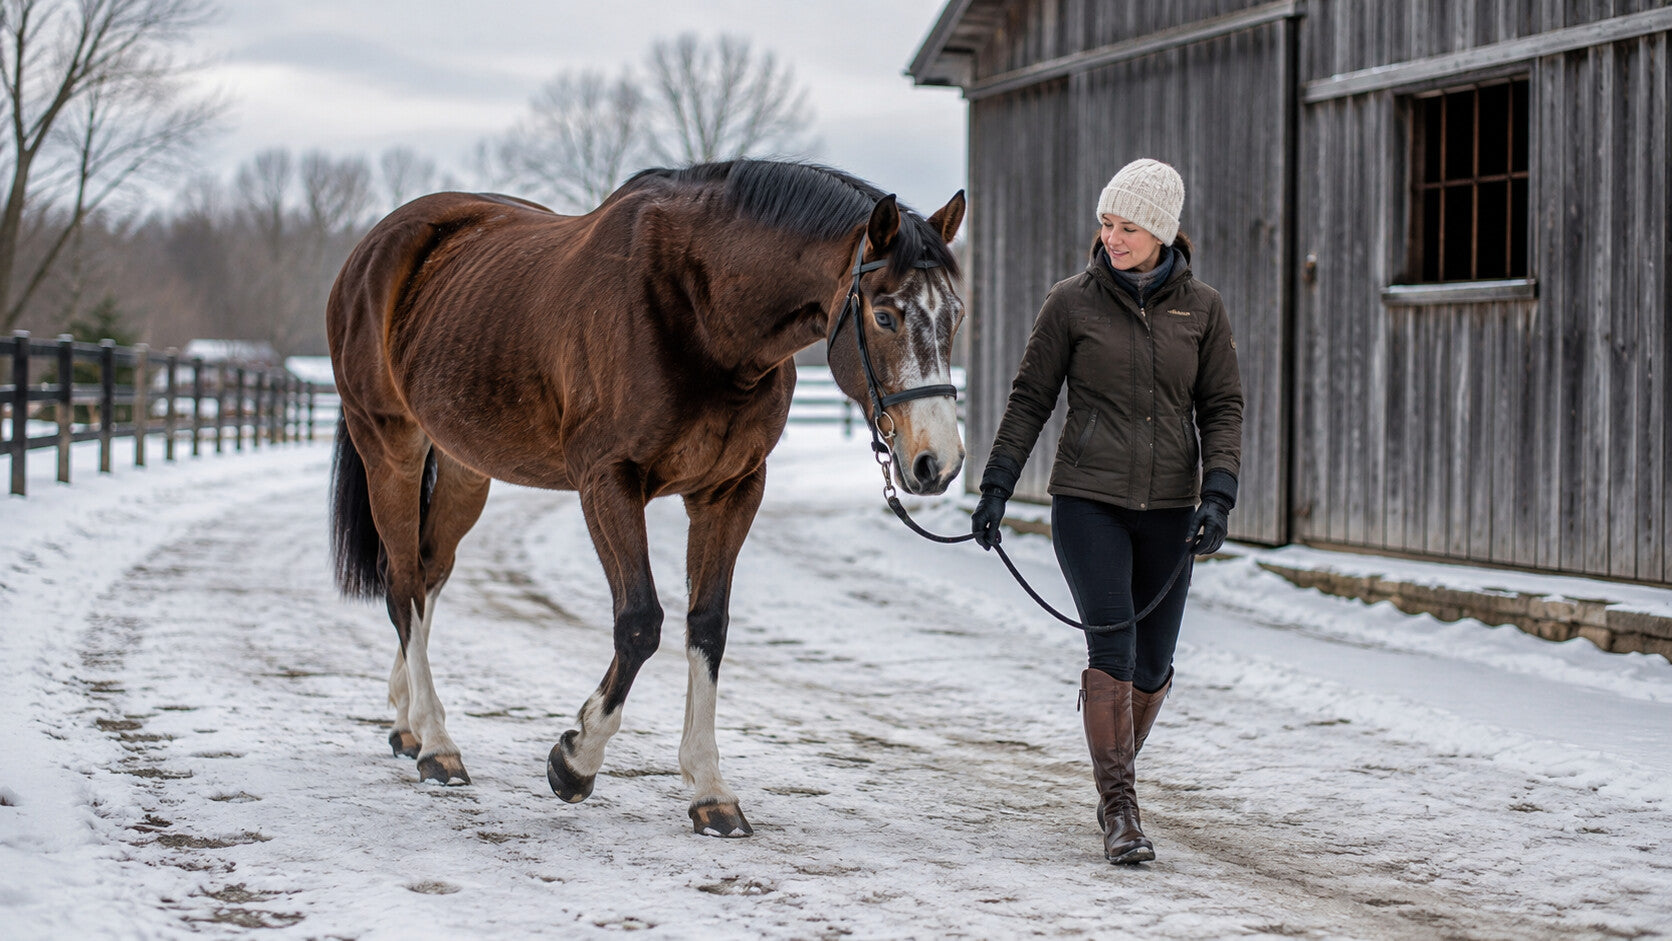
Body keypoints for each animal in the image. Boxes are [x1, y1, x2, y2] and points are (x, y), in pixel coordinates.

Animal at [326, 159, 966, 836]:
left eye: (955, 316)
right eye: (886, 316)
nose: (937, 463)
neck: (701, 312)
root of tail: (374, 248)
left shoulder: (730, 491)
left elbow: (707, 626)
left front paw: (710, 791)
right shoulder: (608, 481)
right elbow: (639, 622)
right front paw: (575, 761)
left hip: (461, 466)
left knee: (428, 572)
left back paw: (408, 725)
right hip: (390, 447)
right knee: (402, 583)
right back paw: (438, 746)